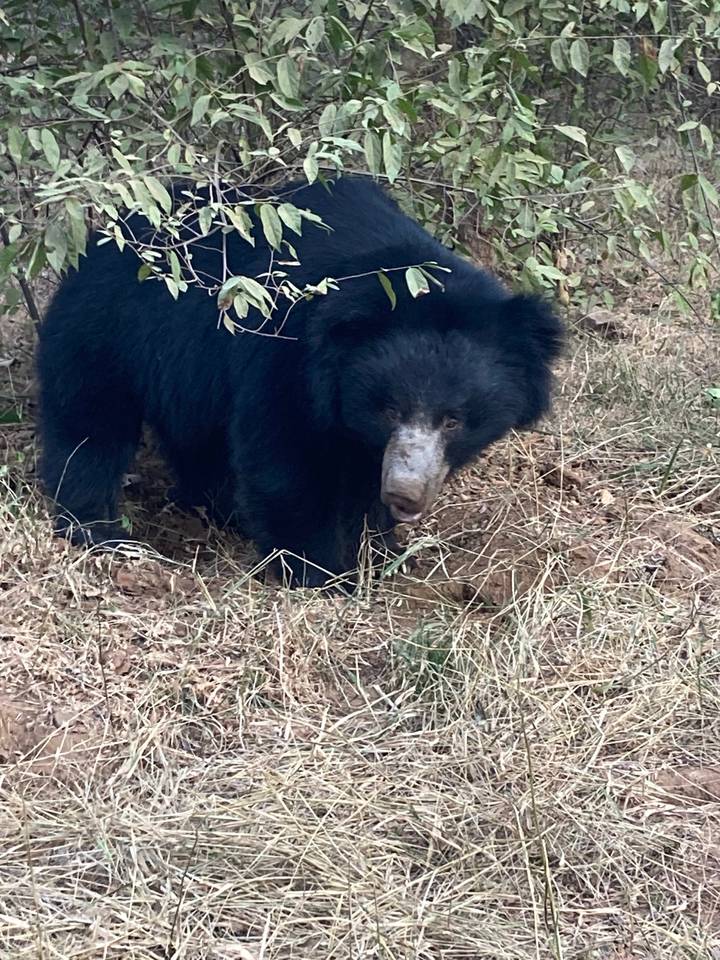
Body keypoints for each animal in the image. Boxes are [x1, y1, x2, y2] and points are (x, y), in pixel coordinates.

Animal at [36, 175, 563, 588]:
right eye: (390, 409)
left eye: (454, 420)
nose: (405, 495)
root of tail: (96, 241)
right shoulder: (286, 357)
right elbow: (286, 462)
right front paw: (325, 575)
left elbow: (358, 477)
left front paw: (383, 551)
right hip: (105, 333)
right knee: (90, 427)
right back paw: (100, 530)